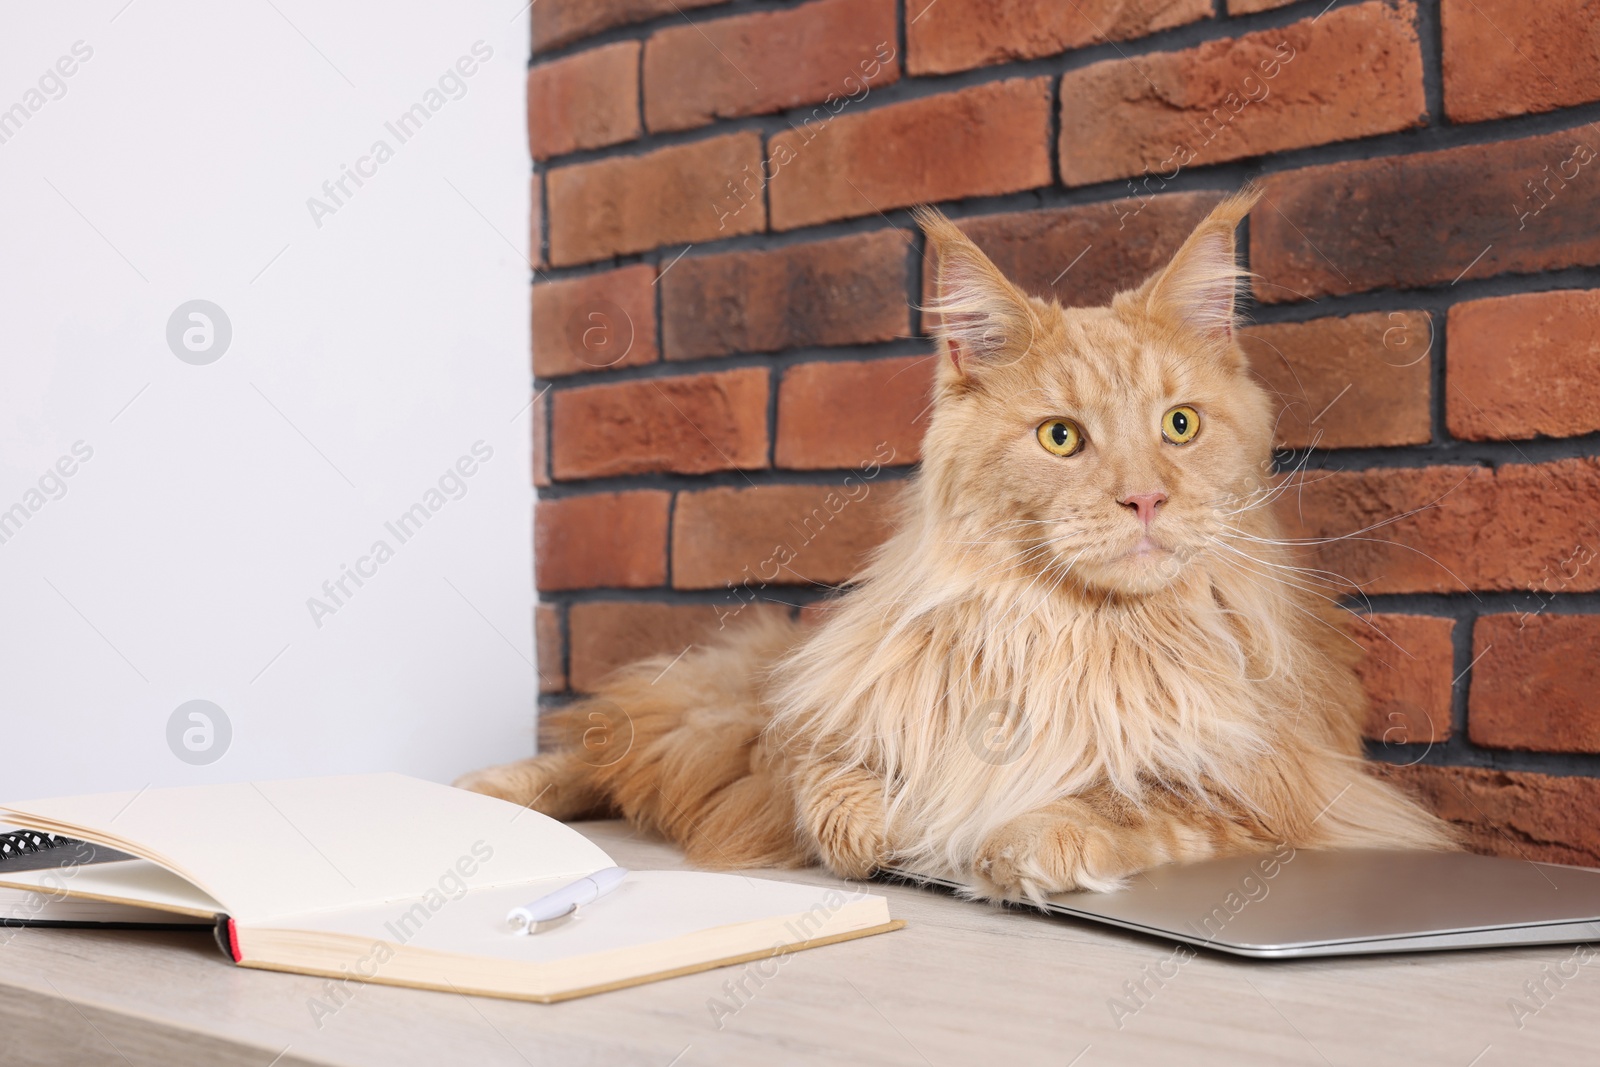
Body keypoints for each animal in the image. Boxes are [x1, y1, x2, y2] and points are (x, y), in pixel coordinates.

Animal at [457, 189, 1459, 902]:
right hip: (733, 705)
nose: (1145, 497)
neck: (1064, 629)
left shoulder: (1288, 785)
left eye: (1180, 425)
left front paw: (1015, 843)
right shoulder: (822, 716)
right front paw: (877, 829)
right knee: (614, 750)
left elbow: (1131, 794)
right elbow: (830, 777)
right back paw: (479, 794)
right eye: (1061, 437)